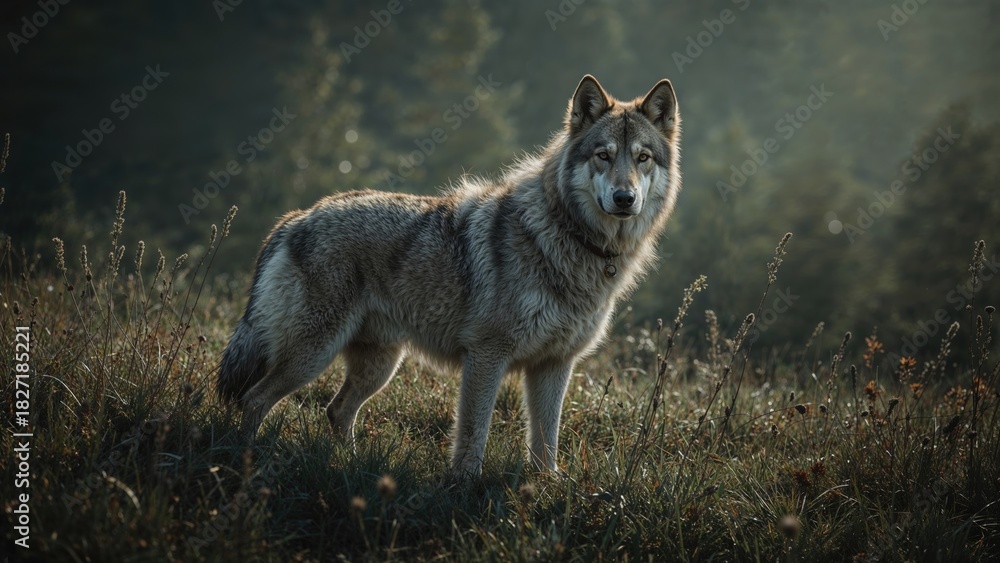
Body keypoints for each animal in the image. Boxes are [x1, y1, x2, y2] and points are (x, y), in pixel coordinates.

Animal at [218, 75, 681, 478]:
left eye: (642, 157)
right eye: (604, 155)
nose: (624, 198)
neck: (570, 238)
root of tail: (296, 218)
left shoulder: (554, 364)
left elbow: (545, 439)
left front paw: (547, 484)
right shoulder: (487, 356)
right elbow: (474, 433)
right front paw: (463, 484)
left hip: (379, 366)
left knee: (337, 410)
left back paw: (349, 464)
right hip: (313, 356)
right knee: (254, 399)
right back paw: (247, 459)